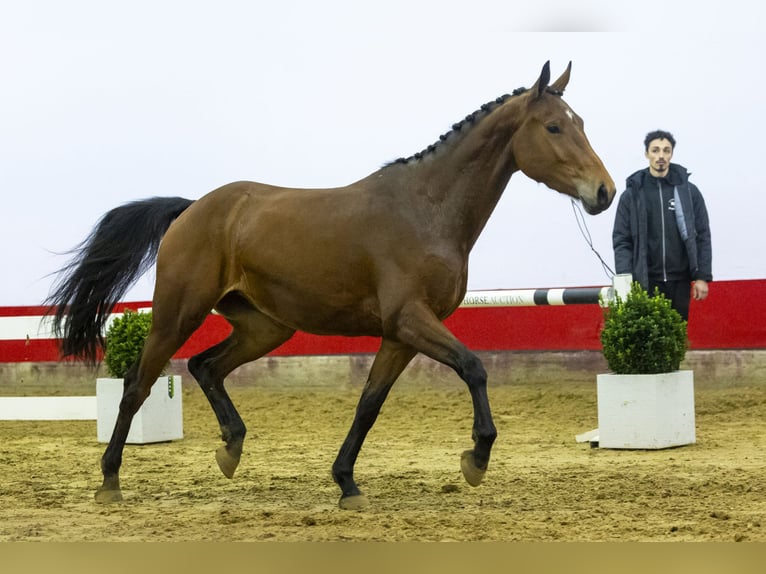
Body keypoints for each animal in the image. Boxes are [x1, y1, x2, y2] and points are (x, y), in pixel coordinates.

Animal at [45, 62, 616, 512]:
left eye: (581, 124)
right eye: (554, 126)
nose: (604, 192)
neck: (427, 210)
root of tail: (191, 209)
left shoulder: (400, 335)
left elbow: (369, 404)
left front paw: (347, 483)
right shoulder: (411, 319)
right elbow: (473, 367)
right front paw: (475, 458)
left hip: (265, 327)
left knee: (206, 366)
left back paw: (231, 449)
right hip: (177, 312)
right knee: (137, 385)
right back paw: (110, 480)